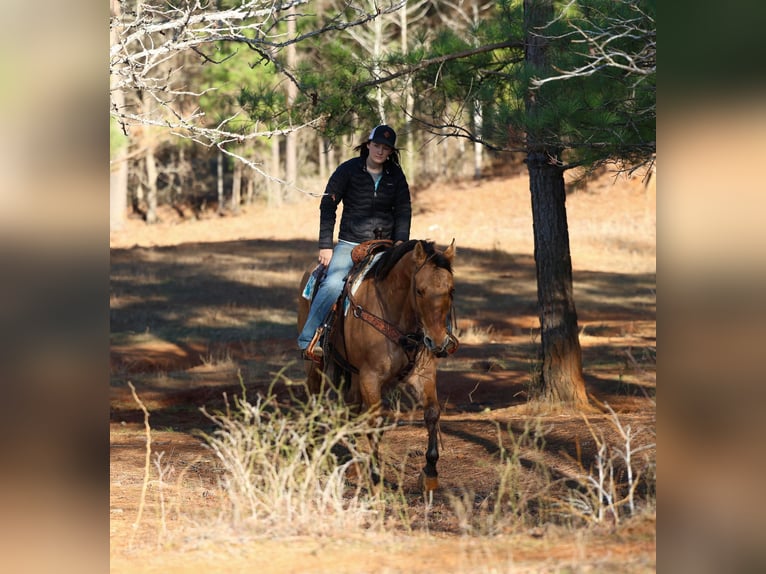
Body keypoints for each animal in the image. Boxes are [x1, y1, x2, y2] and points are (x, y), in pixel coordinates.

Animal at [298, 238, 456, 490]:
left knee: (351, 408)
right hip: (315, 368)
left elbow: (432, 413)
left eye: (451, 290)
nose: (438, 342)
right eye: (419, 290)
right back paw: (312, 452)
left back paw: (353, 464)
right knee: (315, 402)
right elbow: (376, 421)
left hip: (353, 375)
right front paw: (373, 474)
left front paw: (430, 471)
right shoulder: (370, 378)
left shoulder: (423, 374)